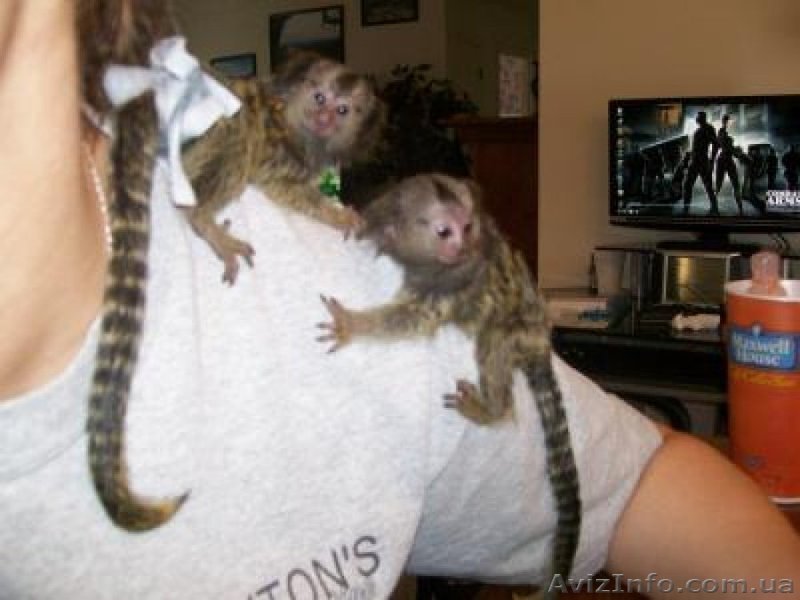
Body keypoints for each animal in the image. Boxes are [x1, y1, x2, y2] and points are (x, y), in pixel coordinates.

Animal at [181, 51, 386, 284]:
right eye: (319, 98)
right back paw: (202, 220)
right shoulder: (278, 147)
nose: (323, 119)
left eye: (342, 110)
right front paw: (339, 216)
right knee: (240, 124)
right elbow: (282, 185)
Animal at [317, 174, 581, 596]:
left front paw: (353, 325)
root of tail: (541, 338)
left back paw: (492, 409)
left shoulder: (453, 283)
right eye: (444, 231)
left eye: (467, 227)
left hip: (518, 332)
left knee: (494, 340)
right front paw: (348, 217)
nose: (461, 246)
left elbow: (413, 318)